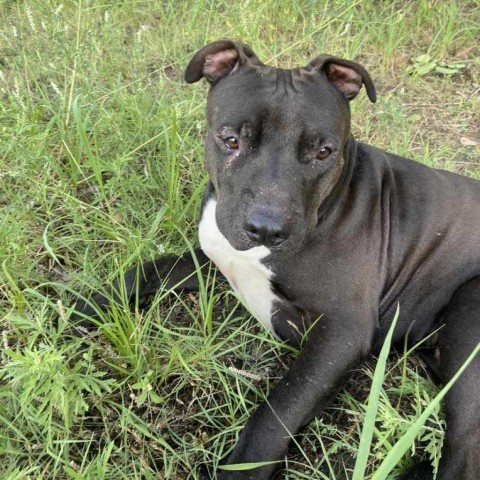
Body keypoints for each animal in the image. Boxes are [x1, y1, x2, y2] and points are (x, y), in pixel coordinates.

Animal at [72, 41, 480, 480]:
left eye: (323, 152)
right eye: (231, 139)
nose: (266, 229)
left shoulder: (341, 332)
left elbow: (278, 410)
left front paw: (244, 468)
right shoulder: (214, 257)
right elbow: (150, 270)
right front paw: (85, 305)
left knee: (462, 449)